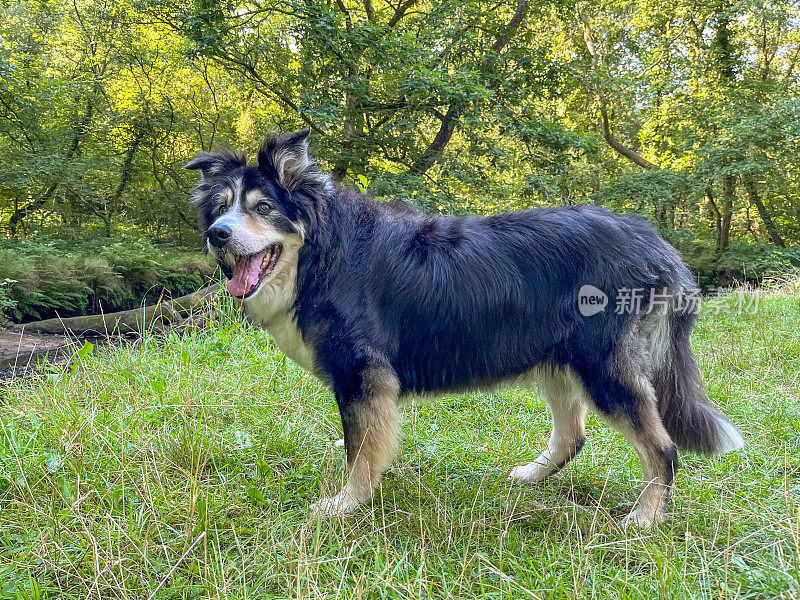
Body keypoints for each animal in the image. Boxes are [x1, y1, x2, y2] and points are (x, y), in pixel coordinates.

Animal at [188, 129, 744, 528]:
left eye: (263, 208)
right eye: (221, 208)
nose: (217, 235)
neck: (324, 252)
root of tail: (658, 245)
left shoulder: (364, 377)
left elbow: (360, 453)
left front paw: (347, 504)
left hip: (603, 368)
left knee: (662, 449)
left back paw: (645, 518)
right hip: (557, 360)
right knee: (572, 437)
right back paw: (533, 475)